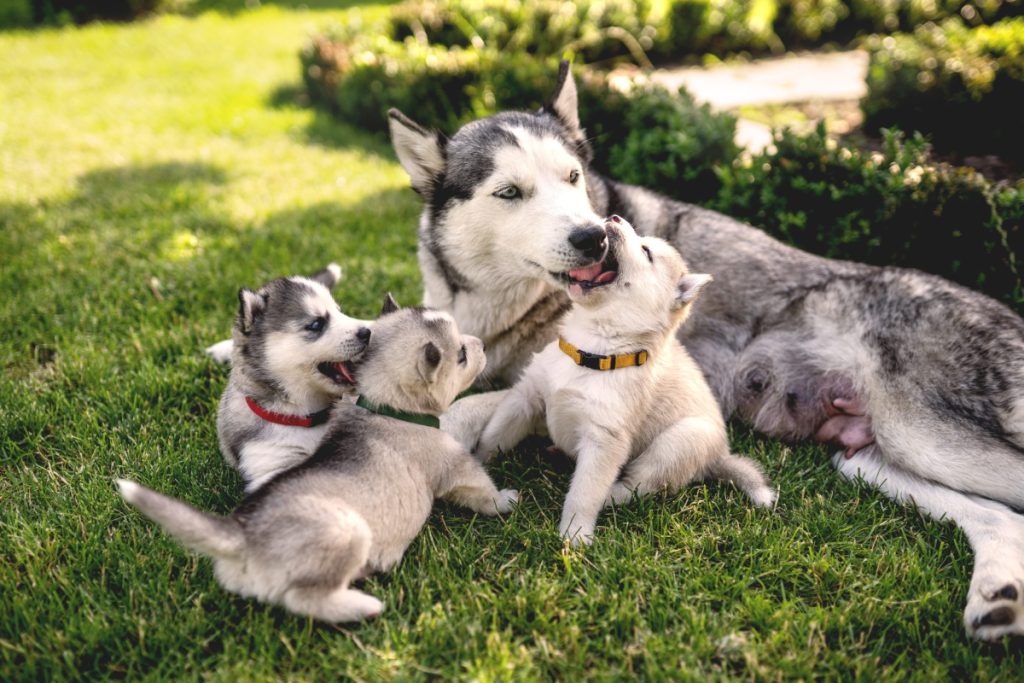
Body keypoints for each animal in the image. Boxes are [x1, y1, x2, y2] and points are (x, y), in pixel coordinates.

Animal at [120, 296, 520, 622]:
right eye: (461, 355)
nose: (483, 344)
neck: (386, 407)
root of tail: (242, 533)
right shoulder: (455, 466)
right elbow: (480, 487)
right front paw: (506, 500)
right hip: (349, 532)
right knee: (305, 599)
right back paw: (362, 604)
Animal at [385, 62, 1024, 643]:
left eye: (571, 177)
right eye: (510, 193)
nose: (593, 236)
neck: (498, 300)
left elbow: (455, 413)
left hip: (926, 437)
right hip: (868, 457)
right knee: (999, 516)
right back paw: (998, 597)